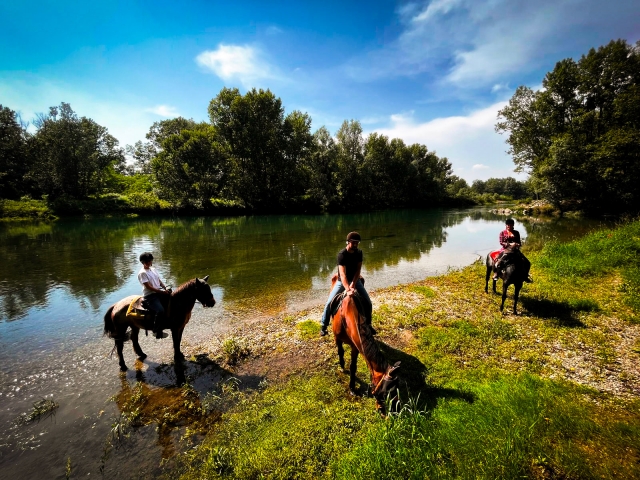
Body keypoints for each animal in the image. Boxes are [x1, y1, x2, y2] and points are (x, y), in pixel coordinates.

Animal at [329, 274, 400, 413]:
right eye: (385, 393)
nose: (395, 412)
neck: (347, 315)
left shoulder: (355, 347)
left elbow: (353, 367)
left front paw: (352, 388)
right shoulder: (337, 338)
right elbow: (340, 352)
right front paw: (342, 367)